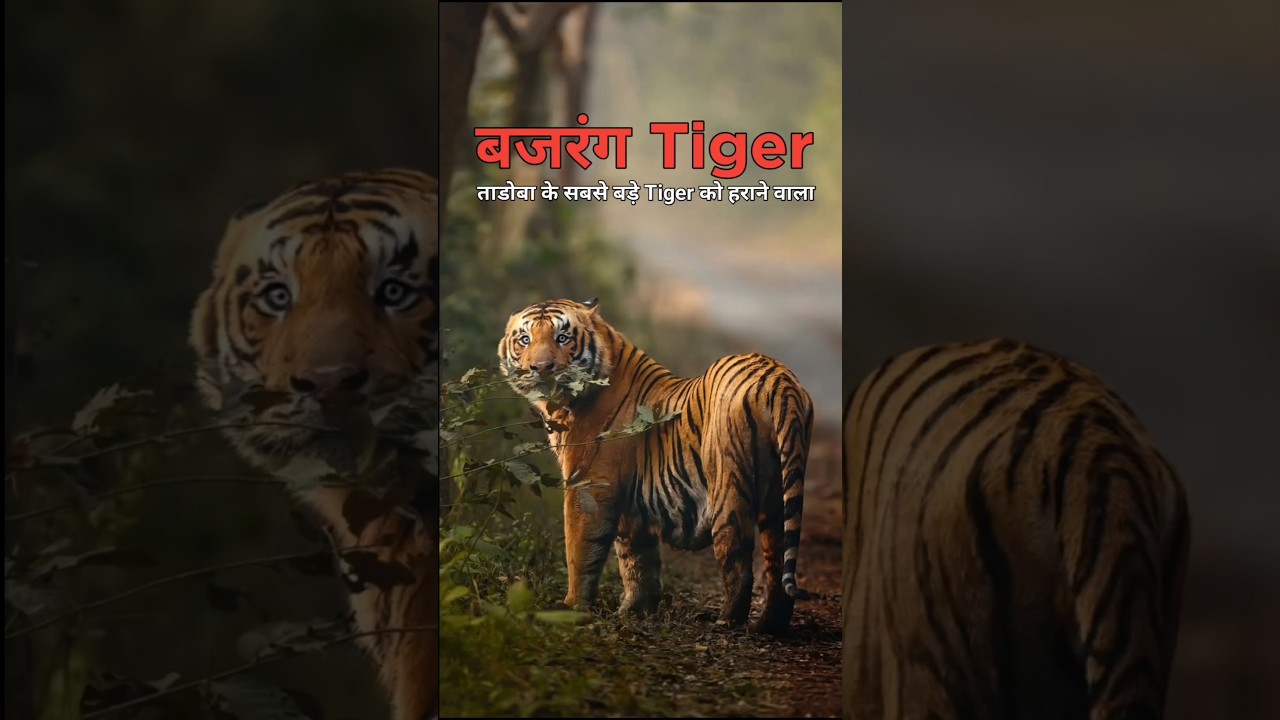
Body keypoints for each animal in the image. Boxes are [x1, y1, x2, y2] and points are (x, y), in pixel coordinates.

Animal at [497, 298, 814, 634]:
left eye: (562, 338)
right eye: (525, 339)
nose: (540, 368)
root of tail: (777, 379)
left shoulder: (588, 486)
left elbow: (580, 548)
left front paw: (571, 607)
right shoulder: (631, 505)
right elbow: (637, 558)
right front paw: (636, 610)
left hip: (728, 487)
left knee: (738, 561)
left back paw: (727, 620)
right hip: (777, 492)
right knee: (777, 561)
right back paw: (768, 625)